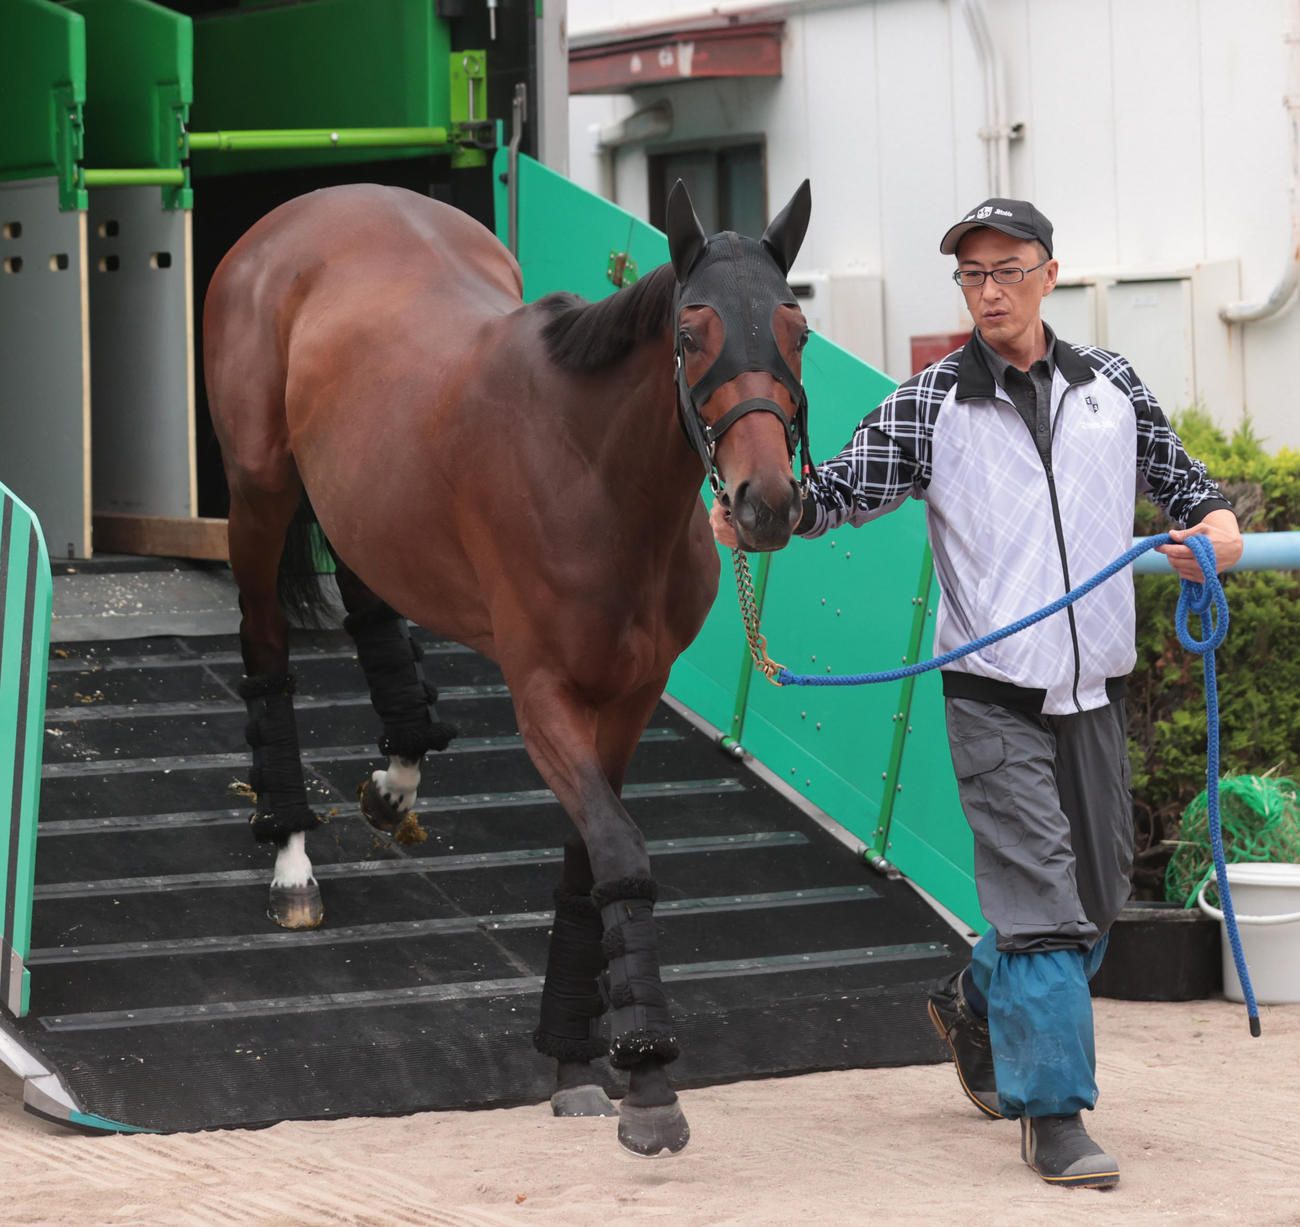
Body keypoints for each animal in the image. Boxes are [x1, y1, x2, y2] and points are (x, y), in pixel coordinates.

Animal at [202, 176, 812, 1156]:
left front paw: (574, 1063)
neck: (594, 471)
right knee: (266, 655)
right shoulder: (543, 698)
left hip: (365, 497)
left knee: (371, 593)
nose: (766, 503)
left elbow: (586, 860)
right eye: (691, 334)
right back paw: (293, 858)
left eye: (796, 331)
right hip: (260, 492)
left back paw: (398, 775)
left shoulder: (628, 698)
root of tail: (316, 201)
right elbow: (617, 850)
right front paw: (648, 1079)